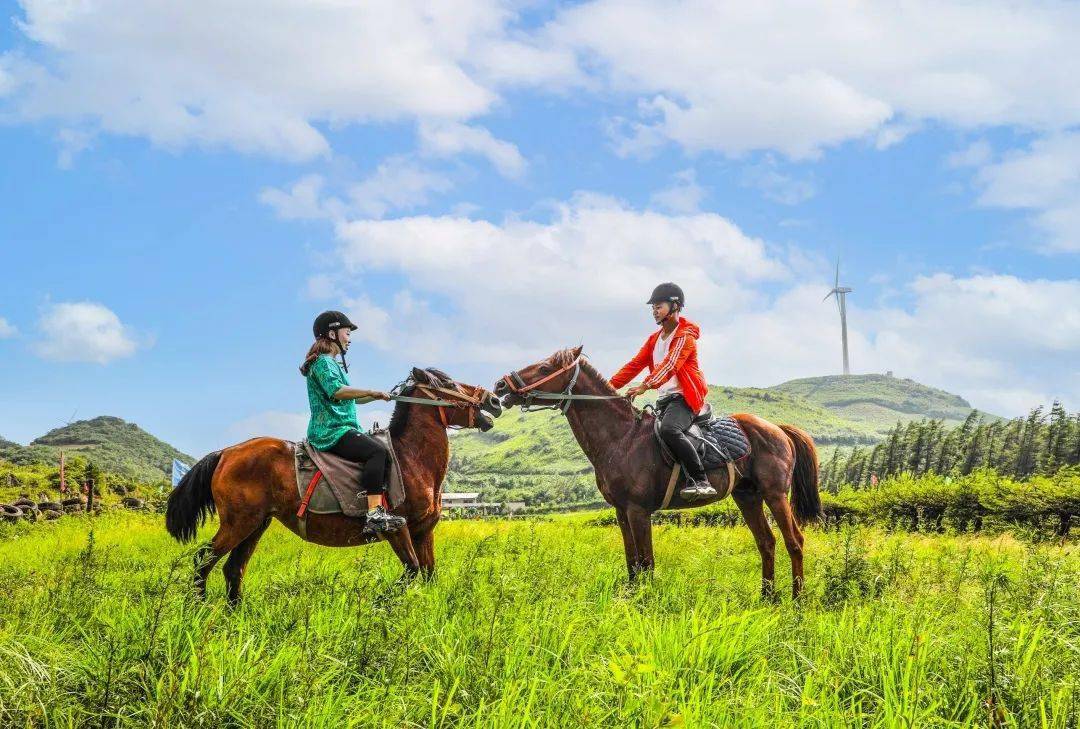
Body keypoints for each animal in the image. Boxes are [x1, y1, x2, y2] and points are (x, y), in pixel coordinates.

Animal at [164, 371, 501, 604]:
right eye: (449, 382)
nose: (495, 400)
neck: (411, 458)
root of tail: (227, 452)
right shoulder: (398, 528)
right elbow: (412, 571)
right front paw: (380, 603)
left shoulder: (423, 531)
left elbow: (428, 574)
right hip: (238, 523)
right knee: (203, 559)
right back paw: (199, 608)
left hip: (256, 524)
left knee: (233, 569)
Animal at [494, 347, 816, 600]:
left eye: (545, 368)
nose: (499, 387)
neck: (622, 438)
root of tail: (778, 428)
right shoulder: (622, 512)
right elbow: (632, 561)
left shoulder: (639, 511)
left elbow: (646, 562)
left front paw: (645, 603)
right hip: (747, 496)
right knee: (766, 542)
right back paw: (767, 598)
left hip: (775, 495)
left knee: (794, 541)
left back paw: (796, 601)